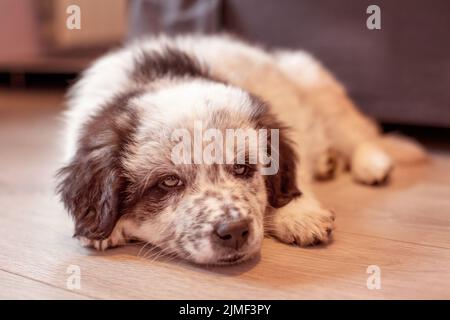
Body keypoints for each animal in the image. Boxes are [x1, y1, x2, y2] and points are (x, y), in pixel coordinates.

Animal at [57, 34, 426, 264]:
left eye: (243, 168)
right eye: (169, 182)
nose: (234, 232)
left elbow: (292, 184)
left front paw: (299, 215)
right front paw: (107, 230)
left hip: (316, 86)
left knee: (358, 134)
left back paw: (372, 164)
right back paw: (329, 162)